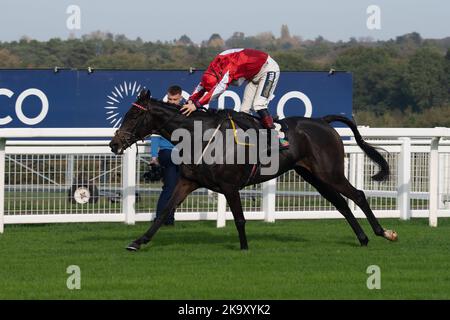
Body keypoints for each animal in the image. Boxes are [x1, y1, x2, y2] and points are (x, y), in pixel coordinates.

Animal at [109, 89, 398, 251]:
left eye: (133, 116)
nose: (114, 144)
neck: (199, 136)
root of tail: (323, 121)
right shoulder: (187, 182)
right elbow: (163, 212)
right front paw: (137, 242)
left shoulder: (229, 186)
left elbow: (239, 218)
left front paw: (245, 248)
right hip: (313, 176)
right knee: (341, 202)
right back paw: (362, 238)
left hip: (330, 172)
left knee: (357, 194)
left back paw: (383, 232)